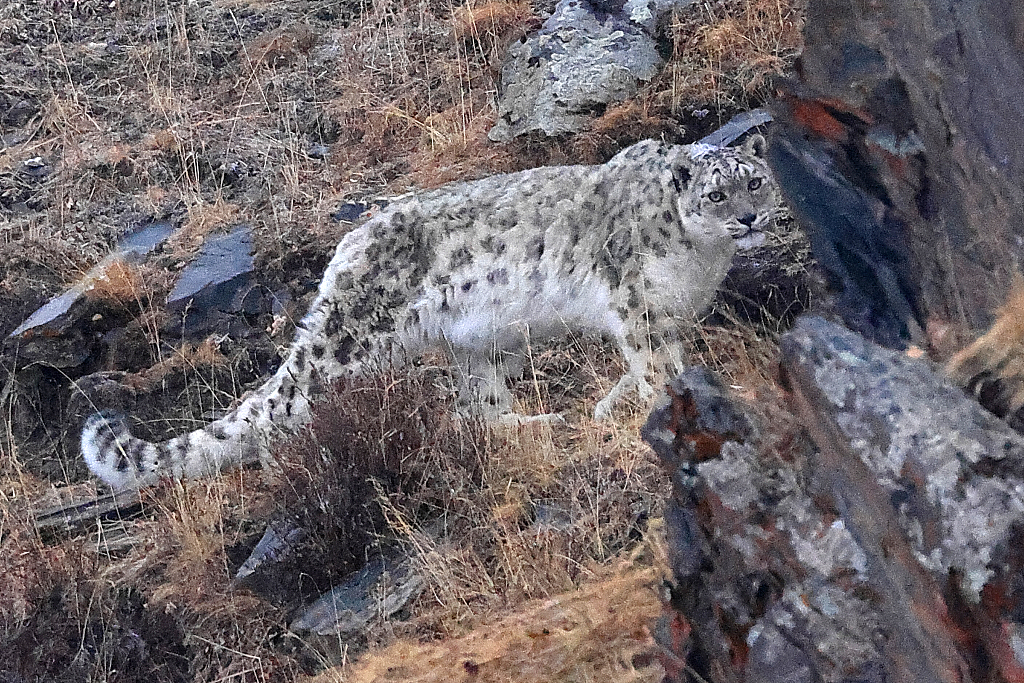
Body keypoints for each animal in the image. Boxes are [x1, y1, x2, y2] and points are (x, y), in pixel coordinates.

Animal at [83, 133, 778, 489]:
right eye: (717, 193)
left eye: (757, 180)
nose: (749, 219)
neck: (700, 264)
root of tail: (348, 246)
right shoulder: (640, 309)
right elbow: (658, 369)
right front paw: (690, 413)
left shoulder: (664, 315)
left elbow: (640, 372)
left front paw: (613, 407)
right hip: (347, 348)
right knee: (277, 408)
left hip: (481, 347)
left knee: (478, 408)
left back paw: (535, 423)